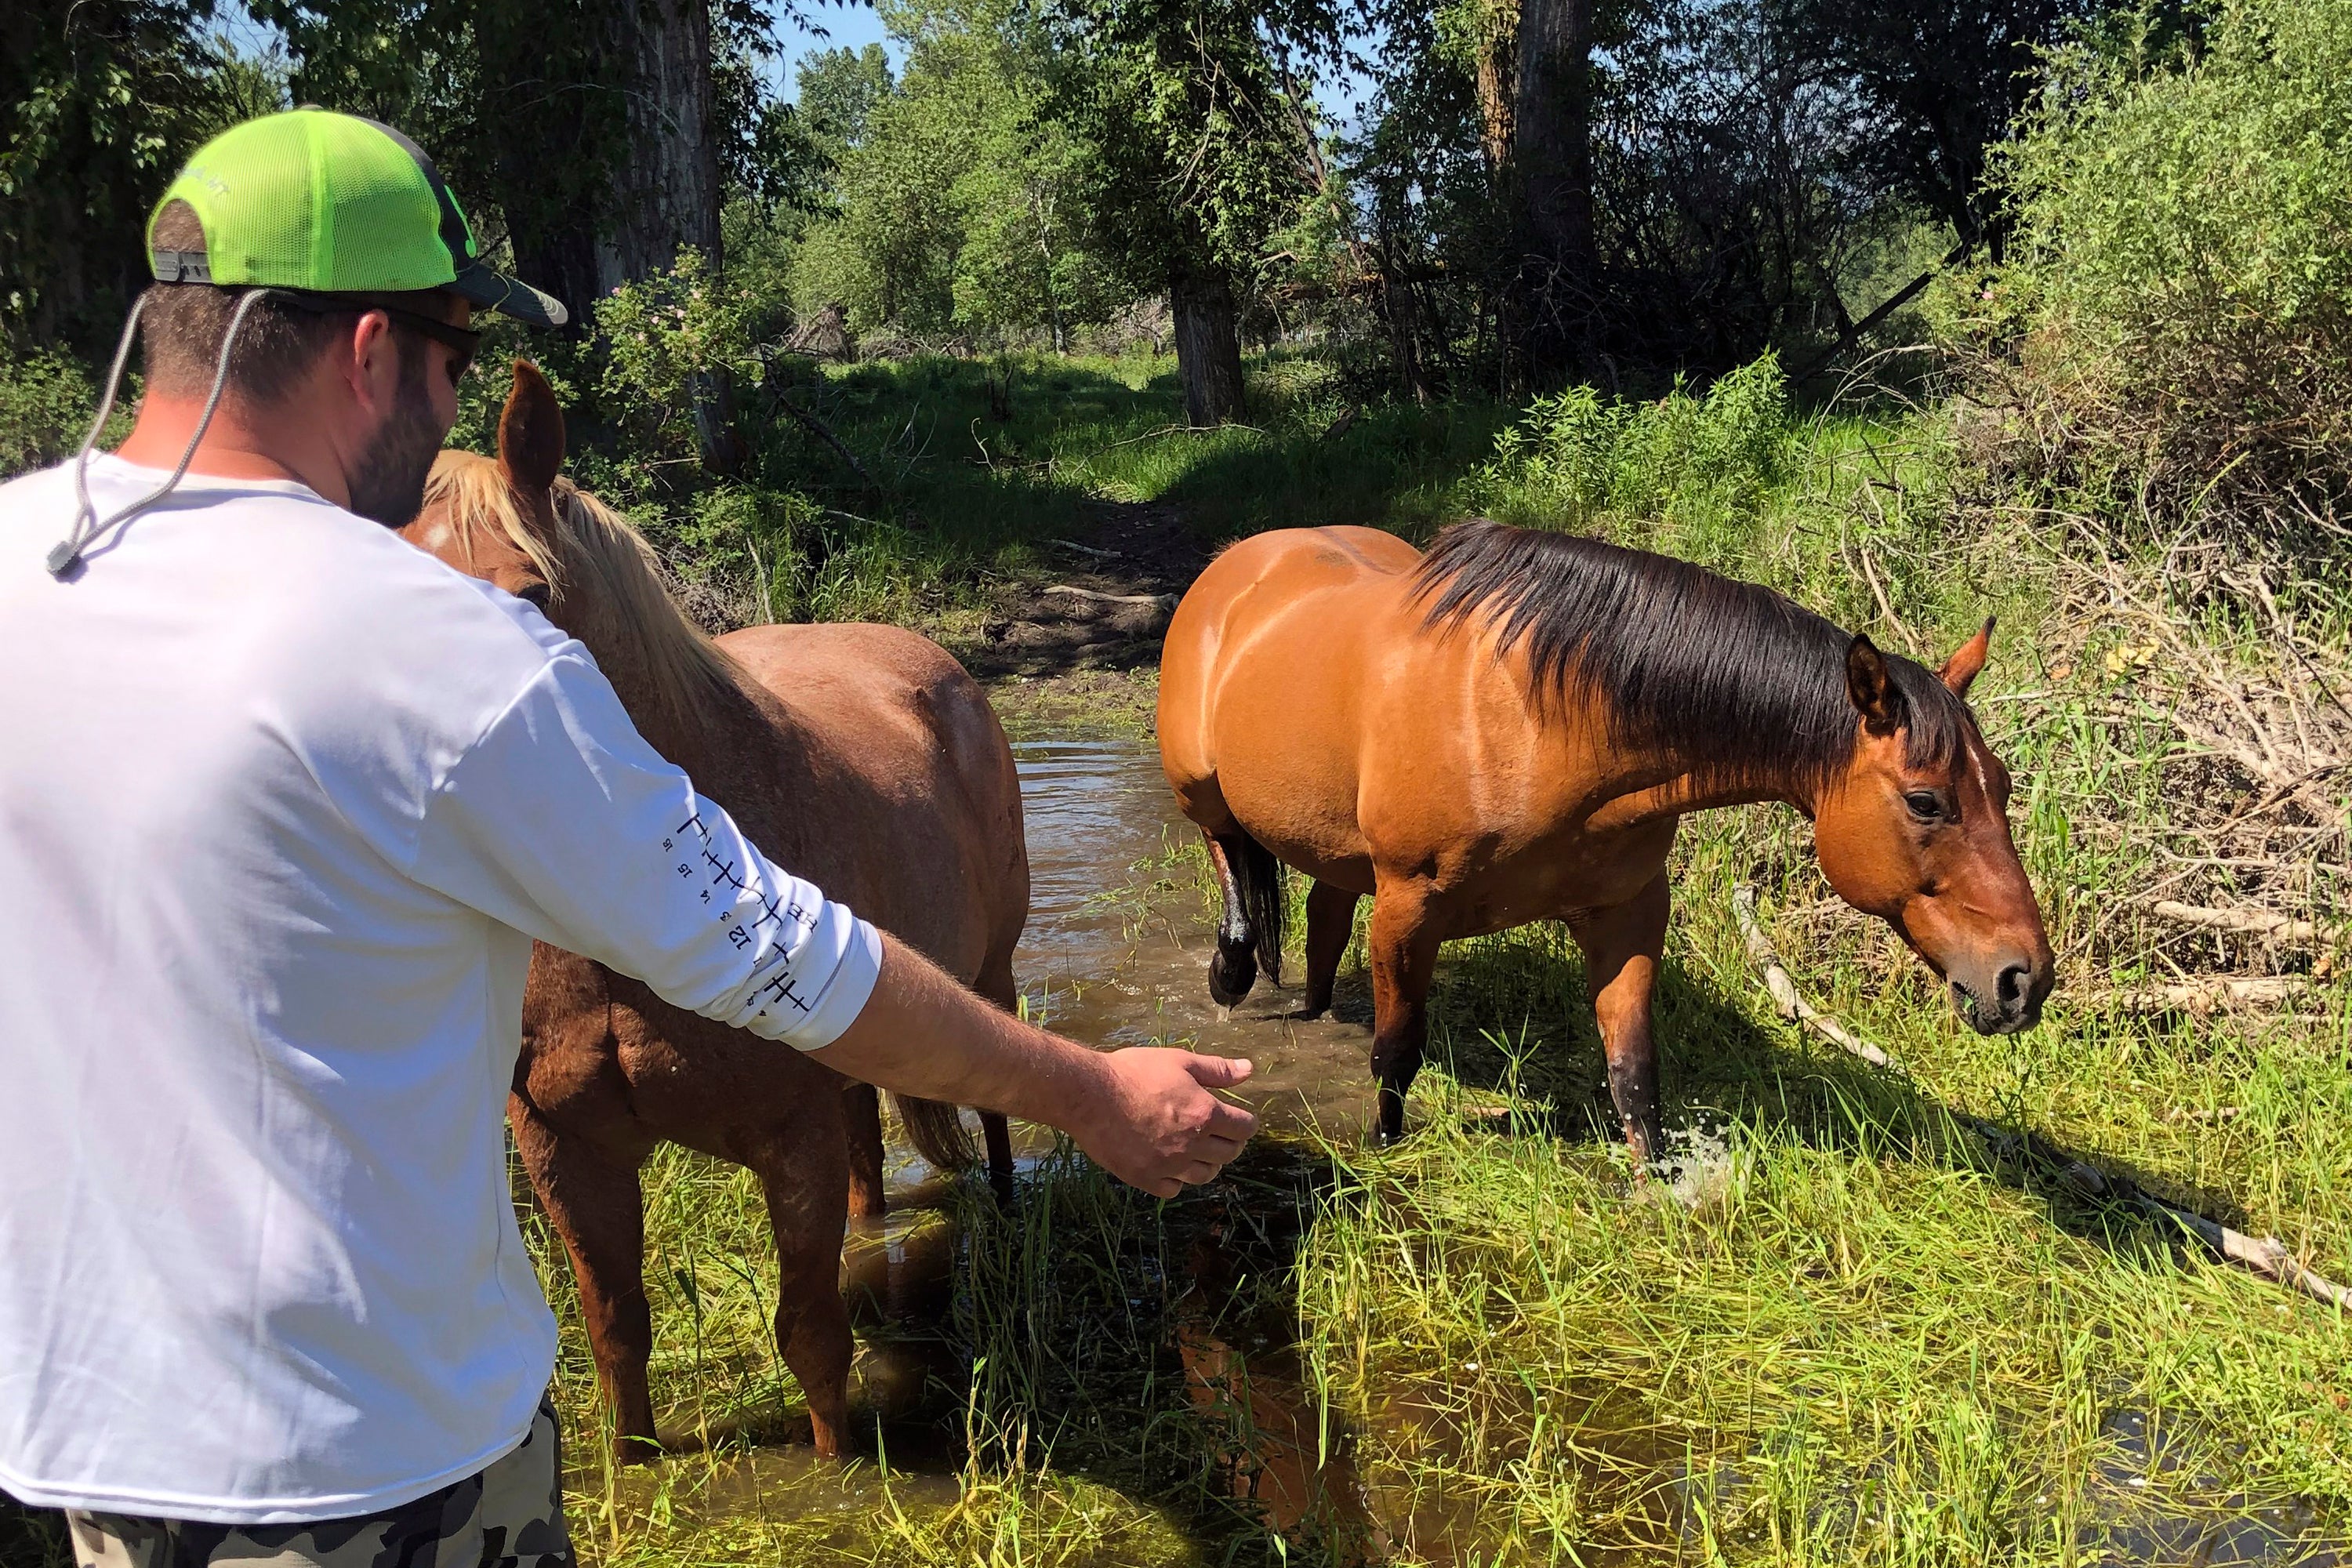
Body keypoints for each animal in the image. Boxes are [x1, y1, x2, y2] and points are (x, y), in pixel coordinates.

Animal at [407, 364, 1030, 1457]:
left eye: (531, 599)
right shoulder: (566, 1145)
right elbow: (616, 1326)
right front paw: (634, 1461)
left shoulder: (788, 1131)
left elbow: (812, 1335)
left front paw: (836, 1469)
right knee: (869, 1158)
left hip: (990, 973)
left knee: (991, 1111)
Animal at [1167, 524, 2051, 1152]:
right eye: (1927, 801)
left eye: (2005, 784)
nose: (2024, 981)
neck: (1534, 720)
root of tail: (1239, 564)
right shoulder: (1409, 907)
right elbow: (1398, 1050)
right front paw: (1384, 1143)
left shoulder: (1626, 912)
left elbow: (1633, 1071)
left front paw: (1653, 1184)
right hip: (1202, 790)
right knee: (1231, 862)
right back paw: (1231, 968)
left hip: (1338, 847)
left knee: (1322, 917)